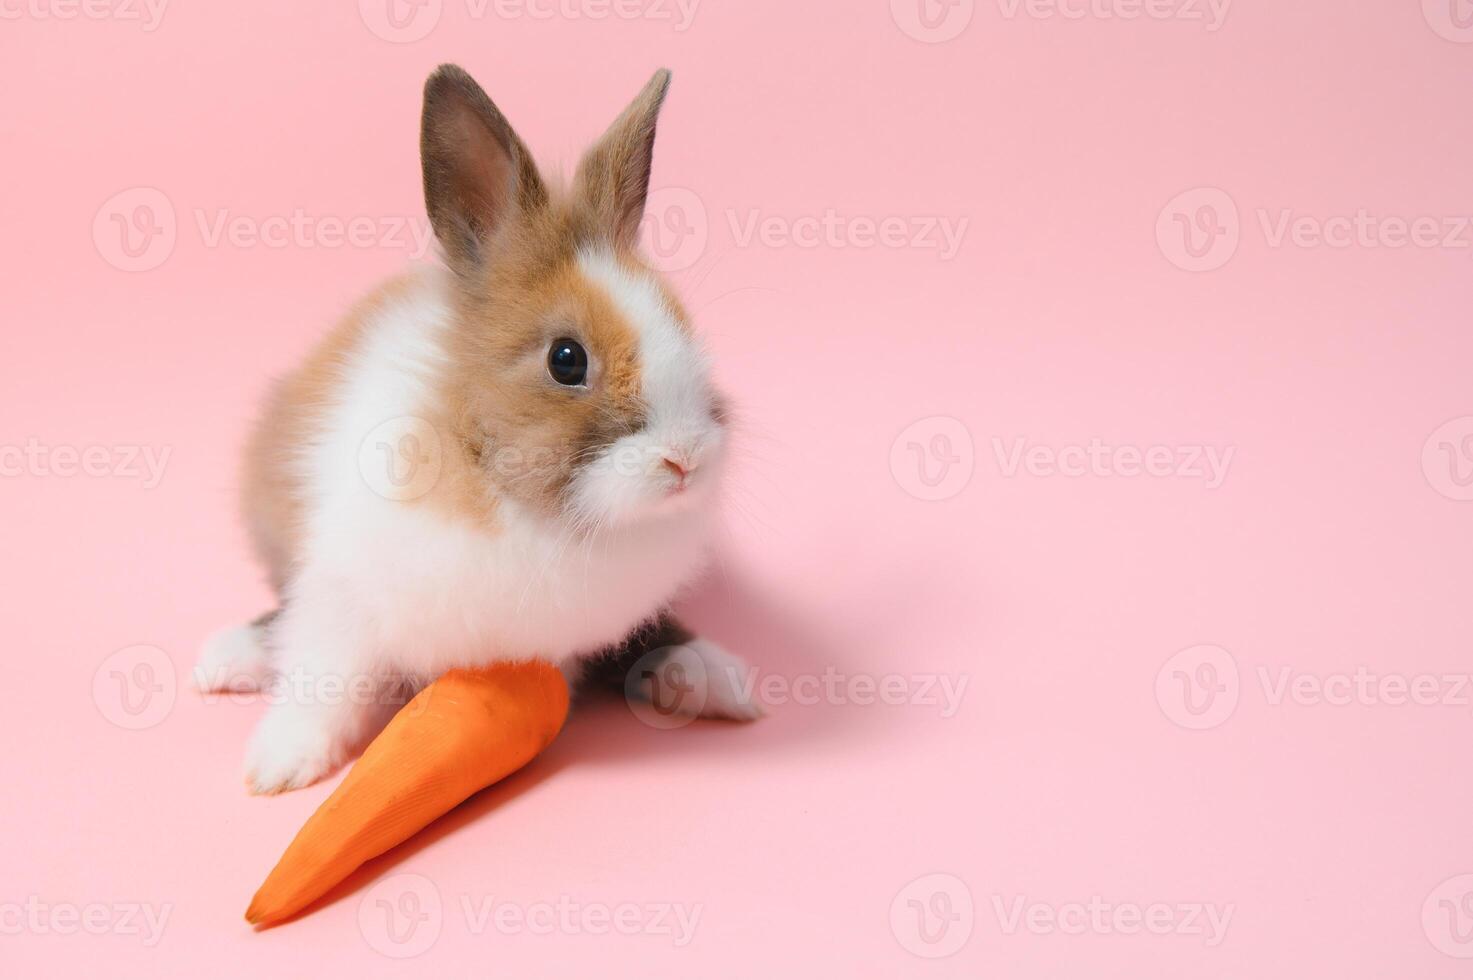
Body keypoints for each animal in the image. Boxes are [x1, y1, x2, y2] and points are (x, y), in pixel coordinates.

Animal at [195, 63, 760, 795]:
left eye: (686, 329)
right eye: (566, 359)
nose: (685, 458)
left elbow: (647, 635)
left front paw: (721, 680)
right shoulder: (341, 594)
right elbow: (325, 675)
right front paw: (280, 763)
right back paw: (224, 657)